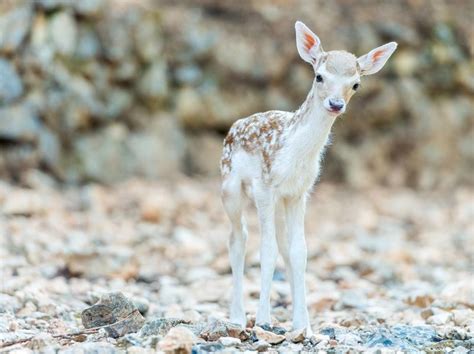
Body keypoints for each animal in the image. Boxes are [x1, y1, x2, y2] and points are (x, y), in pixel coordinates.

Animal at [221, 20, 396, 334]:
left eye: (356, 83)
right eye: (319, 76)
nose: (336, 104)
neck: (292, 151)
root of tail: (233, 127)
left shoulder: (299, 192)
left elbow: (298, 252)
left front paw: (303, 326)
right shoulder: (265, 185)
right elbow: (266, 250)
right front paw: (264, 320)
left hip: (277, 202)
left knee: (280, 243)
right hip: (230, 185)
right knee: (238, 238)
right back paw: (238, 317)